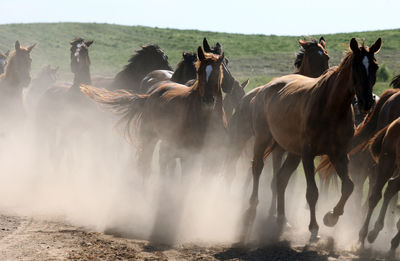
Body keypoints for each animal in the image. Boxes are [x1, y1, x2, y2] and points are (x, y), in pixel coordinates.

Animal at [81, 46, 227, 177]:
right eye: (199, 71)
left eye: (217, 72)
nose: (207, 100)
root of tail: (150, 94)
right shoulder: (186, 153)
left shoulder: (212, 157)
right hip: (149, 138)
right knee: (145, 164)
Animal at [241, 37, 382, 242]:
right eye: (355, 66)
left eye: (375, 66)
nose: (366, 102)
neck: (330, 107)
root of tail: (264, 89)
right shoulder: (308, 154)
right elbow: (313, 192)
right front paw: (314, 228)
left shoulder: (339, 154)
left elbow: (348, 186)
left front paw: (331, 217)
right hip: (263, 139)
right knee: (258, 167)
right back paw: (252, 208)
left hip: (293, 152)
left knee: (281, 179)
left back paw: (282, 219)